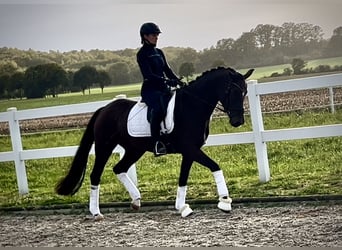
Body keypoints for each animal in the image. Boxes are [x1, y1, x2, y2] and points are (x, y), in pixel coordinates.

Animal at [55, 66, 254, 219]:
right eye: (232, 91)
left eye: (244, 92)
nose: (237, 121)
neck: (192, 105)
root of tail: (104, 109)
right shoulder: (190, 149)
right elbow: (215, 166)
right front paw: (225, 202)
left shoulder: (190, 151)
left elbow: (183, 178)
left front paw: (182, 207)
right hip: (104, 148)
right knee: (95, 175)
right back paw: (96, 213)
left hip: (134, 150)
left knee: (119, 168)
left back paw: (136, 201)